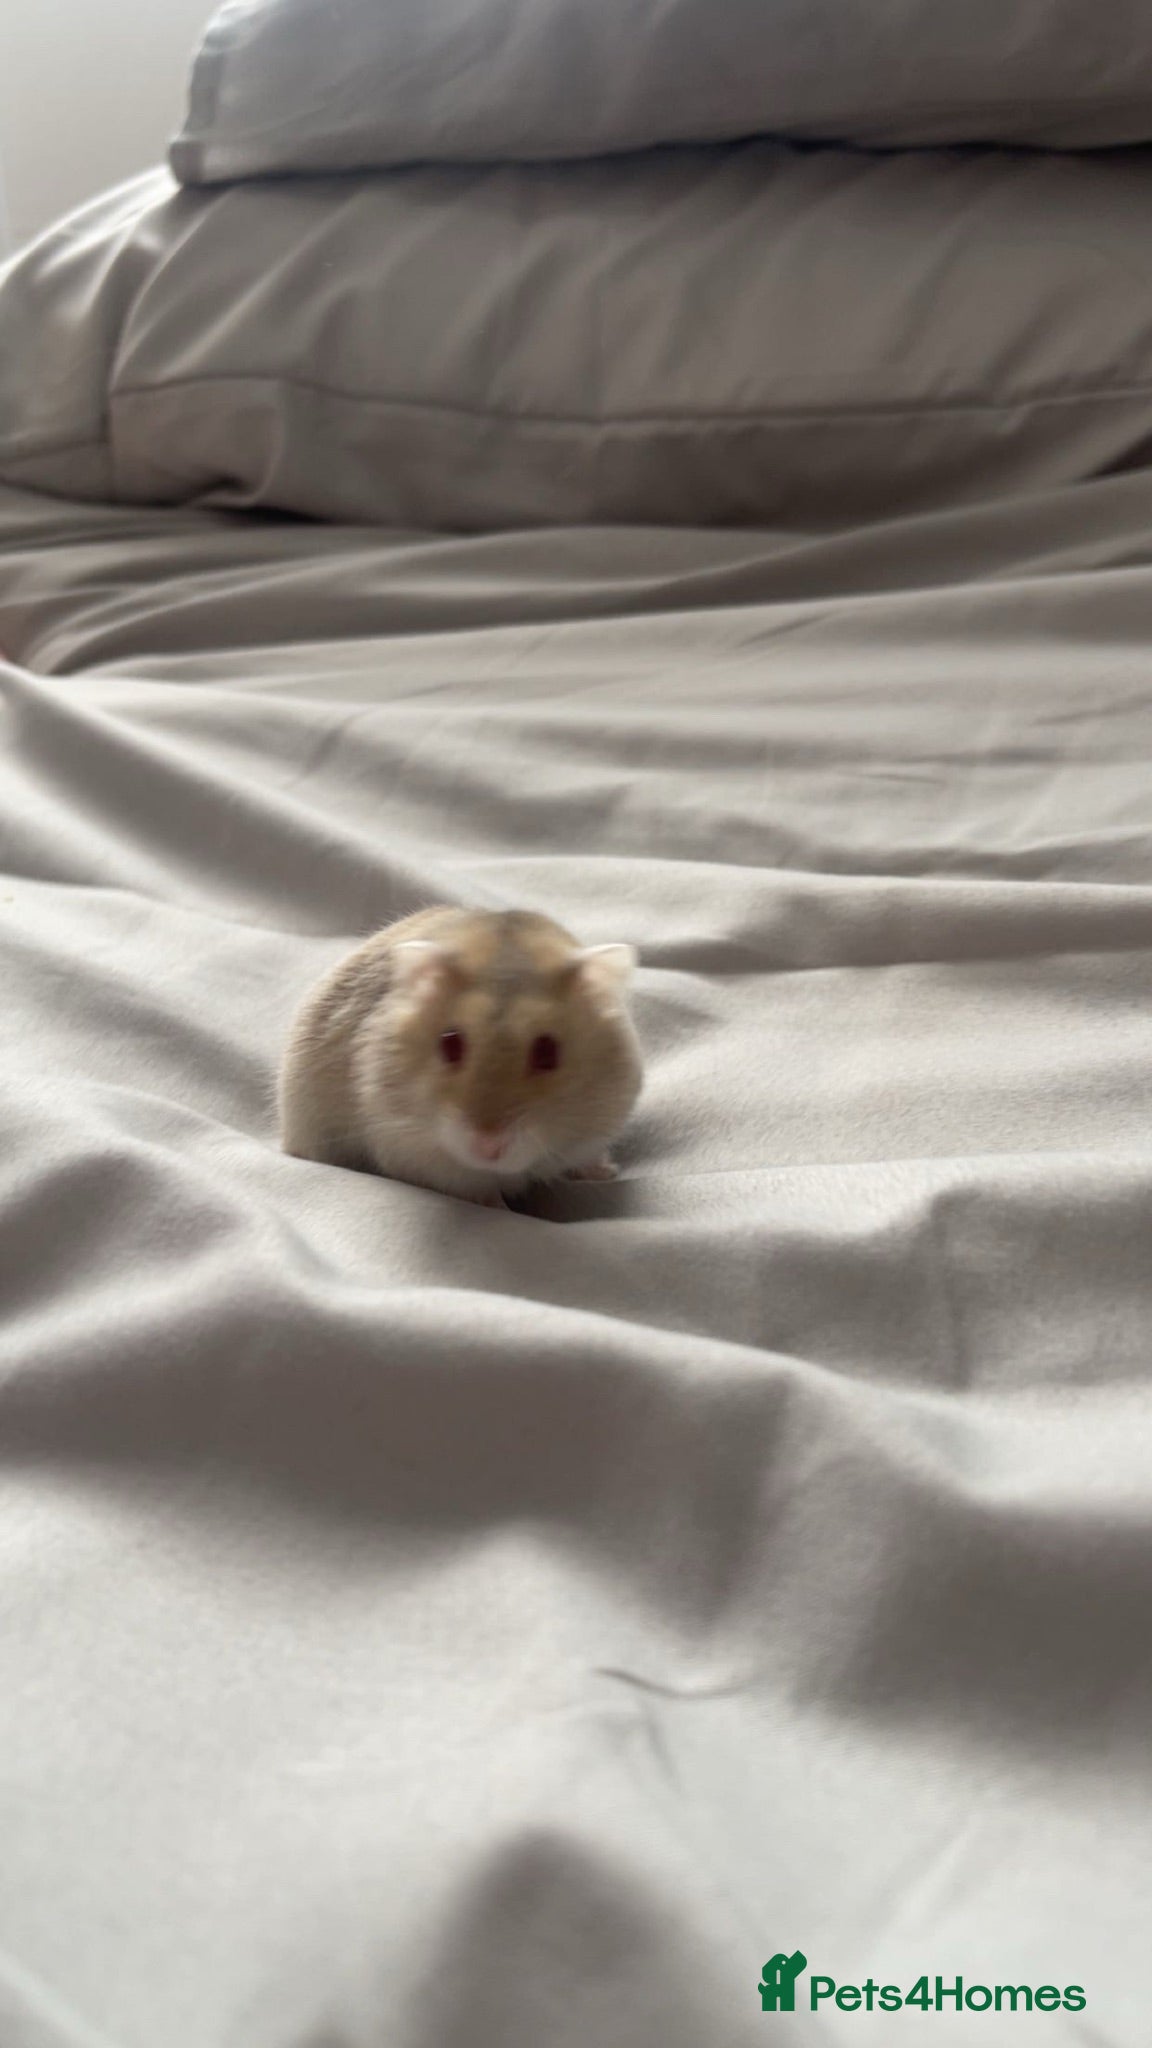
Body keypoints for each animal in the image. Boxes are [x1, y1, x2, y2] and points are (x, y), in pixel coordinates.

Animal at [279, 906, 643, 1204]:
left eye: (548, 1051)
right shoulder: (409, 1147)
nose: (488, 1148)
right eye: (450, 1043)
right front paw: (499, 1207)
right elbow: (476, 1191)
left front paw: (607, 1172)